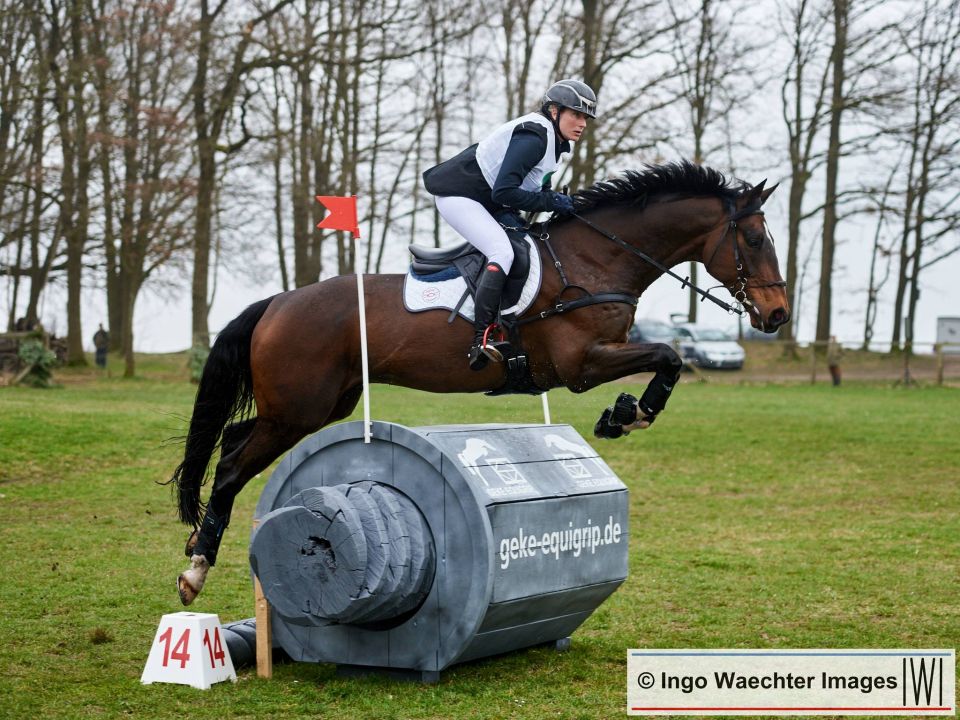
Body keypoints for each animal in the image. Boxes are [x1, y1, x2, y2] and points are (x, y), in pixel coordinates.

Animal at [171, 160, 788, 604]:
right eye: (756, 240)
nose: (778, 314)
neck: (596, 260)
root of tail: (277, 301)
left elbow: (668, 358)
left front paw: (624, 413)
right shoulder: (582, 364)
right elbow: (669, 354)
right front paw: (626, 414)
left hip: (318, 405)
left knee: (233, 440)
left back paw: (199, 546)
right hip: (299, 408)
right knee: (232, 465)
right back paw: (196, 570)